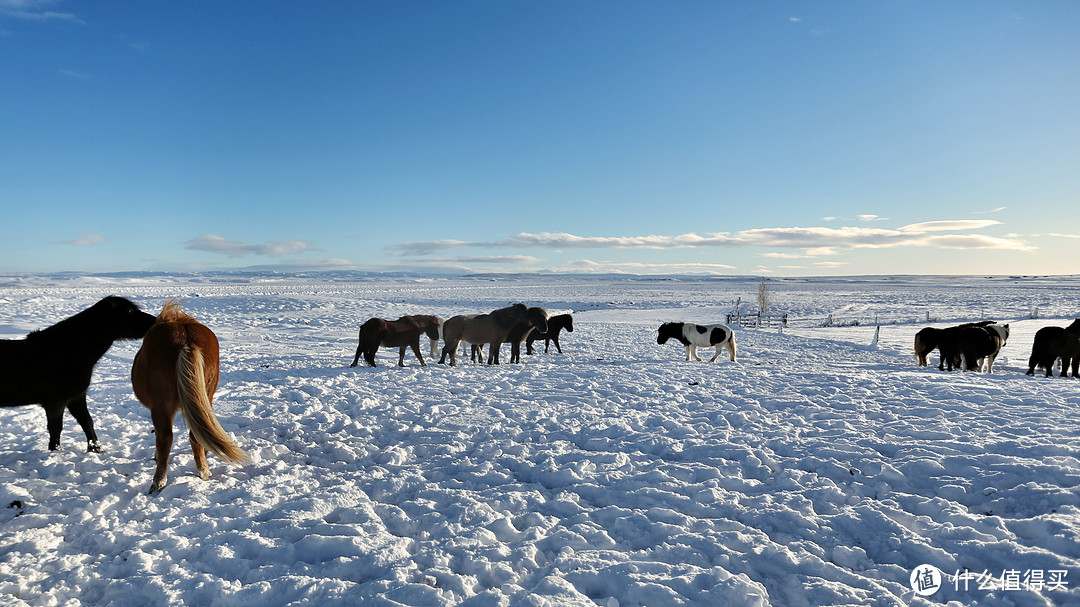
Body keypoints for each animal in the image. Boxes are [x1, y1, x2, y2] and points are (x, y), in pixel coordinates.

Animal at [0, 295, 156, 451]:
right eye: (129, 310)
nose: (155, 321)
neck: (68, 352)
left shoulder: (76, 397)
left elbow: (87, 422)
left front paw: (96, 449)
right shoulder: (55, 401)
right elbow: (55, 428)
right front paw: (55, 451)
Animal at [131, 300, 247, 494]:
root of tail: (185, 339)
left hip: (161, 406)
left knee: (165, 438)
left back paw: (158, 482)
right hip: (206, 396)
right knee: (195, 434)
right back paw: (204, 471)